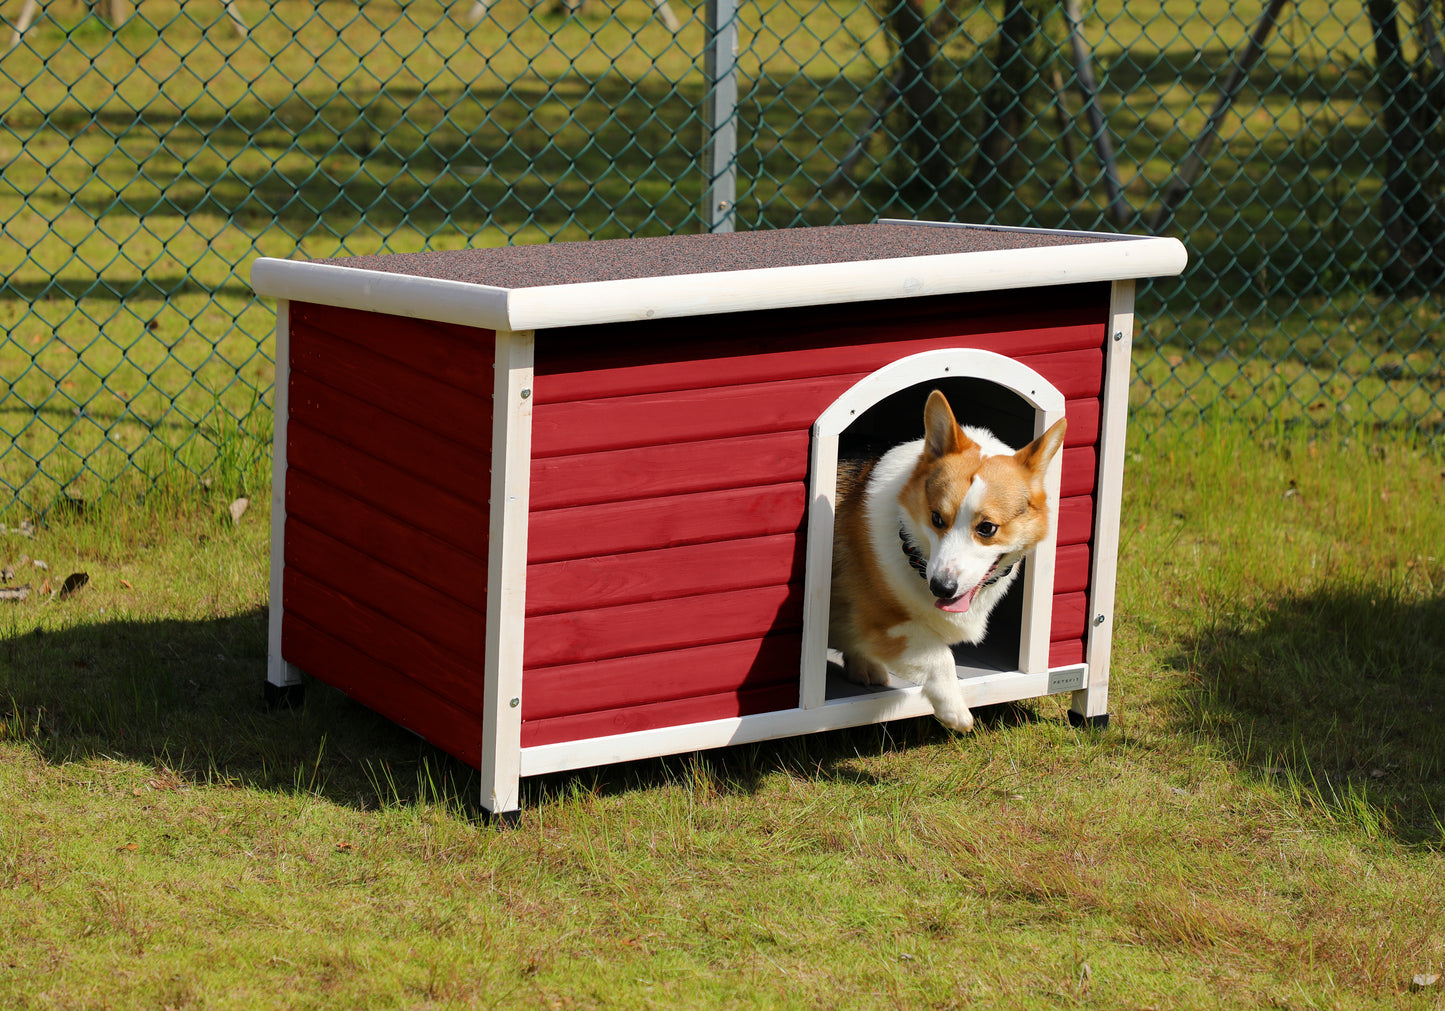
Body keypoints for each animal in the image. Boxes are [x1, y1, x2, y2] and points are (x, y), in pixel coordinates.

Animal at [832, 389, 1069, 730]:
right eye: (936, 518)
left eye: (987, 528)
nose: (941, 588)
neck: (913, 553)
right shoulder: (883, 622)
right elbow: (940, 655)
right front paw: (956, 712)